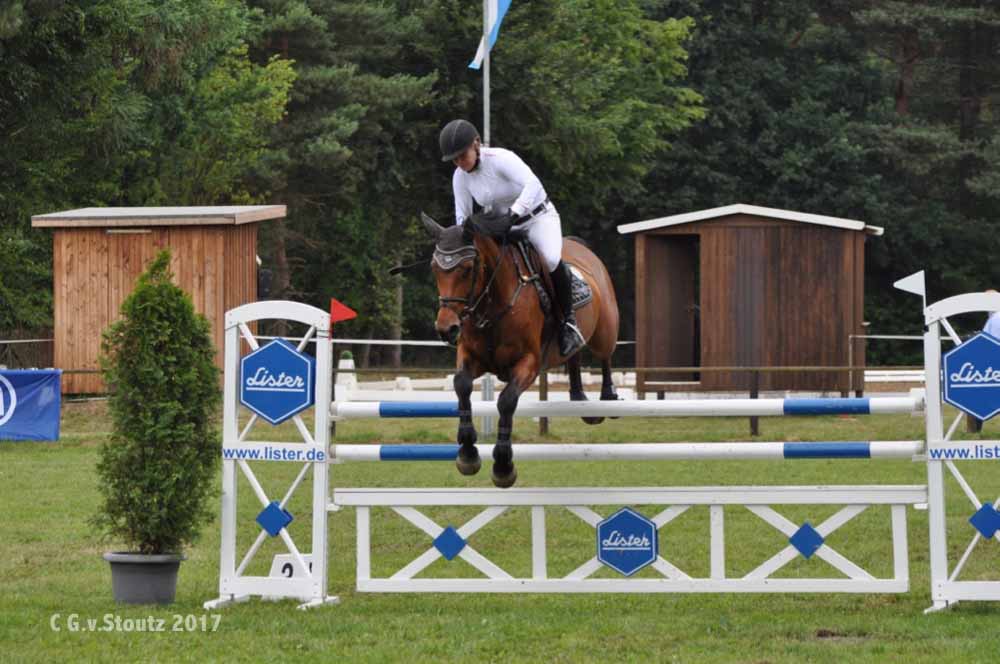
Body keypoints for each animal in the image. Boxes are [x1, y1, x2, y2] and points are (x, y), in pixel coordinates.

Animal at [421, 211, 620, 488]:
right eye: (435, 268)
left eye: (467, 269)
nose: (446, 329)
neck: (494, 302)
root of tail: (582, 249)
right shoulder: (471, 356)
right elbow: (461, 385)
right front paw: (468, 453)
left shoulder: (529, 362)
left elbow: (506, 401)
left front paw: (503, 465)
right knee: (574, 354)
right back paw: (579, 397)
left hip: (605, 330)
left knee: (605, 356)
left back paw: (608, 398)